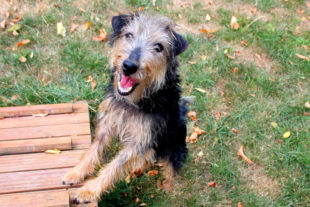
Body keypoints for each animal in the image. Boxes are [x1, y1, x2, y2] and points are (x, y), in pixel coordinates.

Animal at [62, 13, 189, 204]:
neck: (132, 103)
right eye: (129, 35)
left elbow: (114, 167)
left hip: (174, 145)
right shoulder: (108, 123)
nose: (129, 66)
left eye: (158, 47)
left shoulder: (140, 140)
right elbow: (92, 150)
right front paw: (76, 173)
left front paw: (89, 190)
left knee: (170, 167)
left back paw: (168, 186)